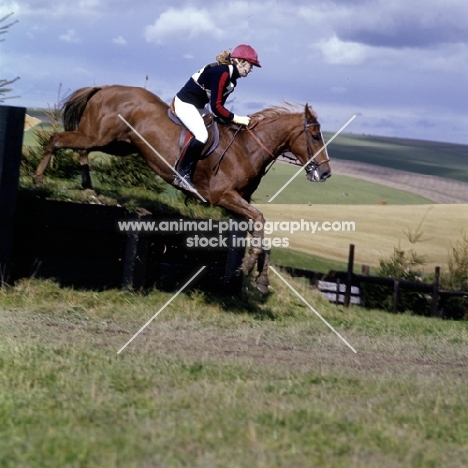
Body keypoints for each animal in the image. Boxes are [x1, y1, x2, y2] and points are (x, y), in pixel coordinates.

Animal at [33, 84, 330, 292]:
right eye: (315, 136)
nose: (326, 173)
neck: (248, 148)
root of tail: (103, 88)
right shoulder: (223, 196)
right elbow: (260, 220)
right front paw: (246, 266)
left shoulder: (236, 205)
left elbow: (262, 233)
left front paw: (262, 279)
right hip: (101, 136)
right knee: (58, 139)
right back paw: (39, 179)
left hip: (117, 144)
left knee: (81, 149)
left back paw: (88, 188)